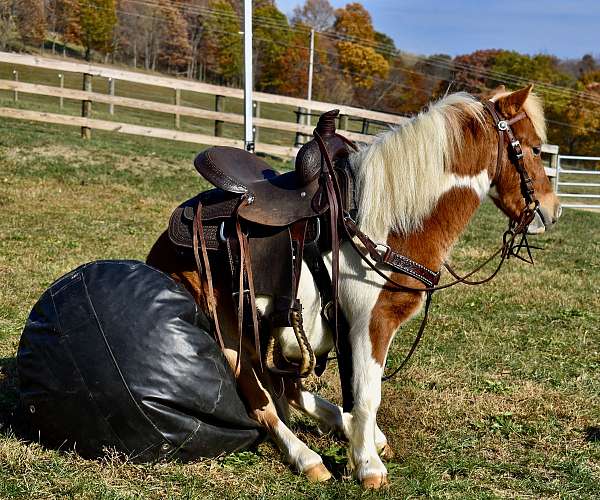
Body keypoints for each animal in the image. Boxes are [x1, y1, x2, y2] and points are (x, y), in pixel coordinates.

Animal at [148, 86, 560, 488]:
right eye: (537, 148)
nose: (553, 211)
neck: (385, 223)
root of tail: (166, 240)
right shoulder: (370, 322)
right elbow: (365, 394)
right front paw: (367, 466)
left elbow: (356, 389)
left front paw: (364, 441)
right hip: (231, 332)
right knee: (261, 400)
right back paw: (307, 457)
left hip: (265, 327)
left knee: (285, 388)